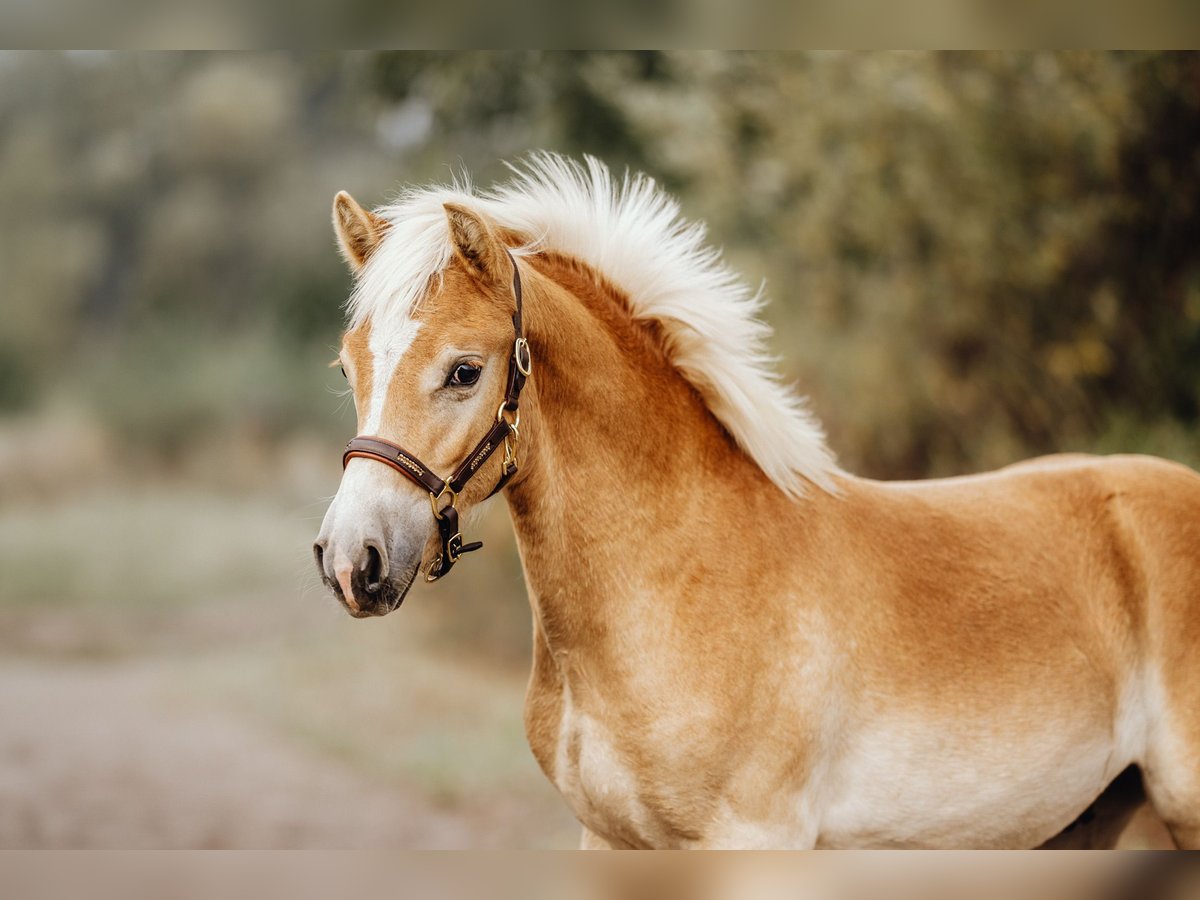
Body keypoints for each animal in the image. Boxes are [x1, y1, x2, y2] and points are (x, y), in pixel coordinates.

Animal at [316, 154, 1200, 854]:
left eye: (464, 370)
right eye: (347, 367)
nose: (352, 562)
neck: (677, 577)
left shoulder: (755, 839)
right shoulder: (610, 841)